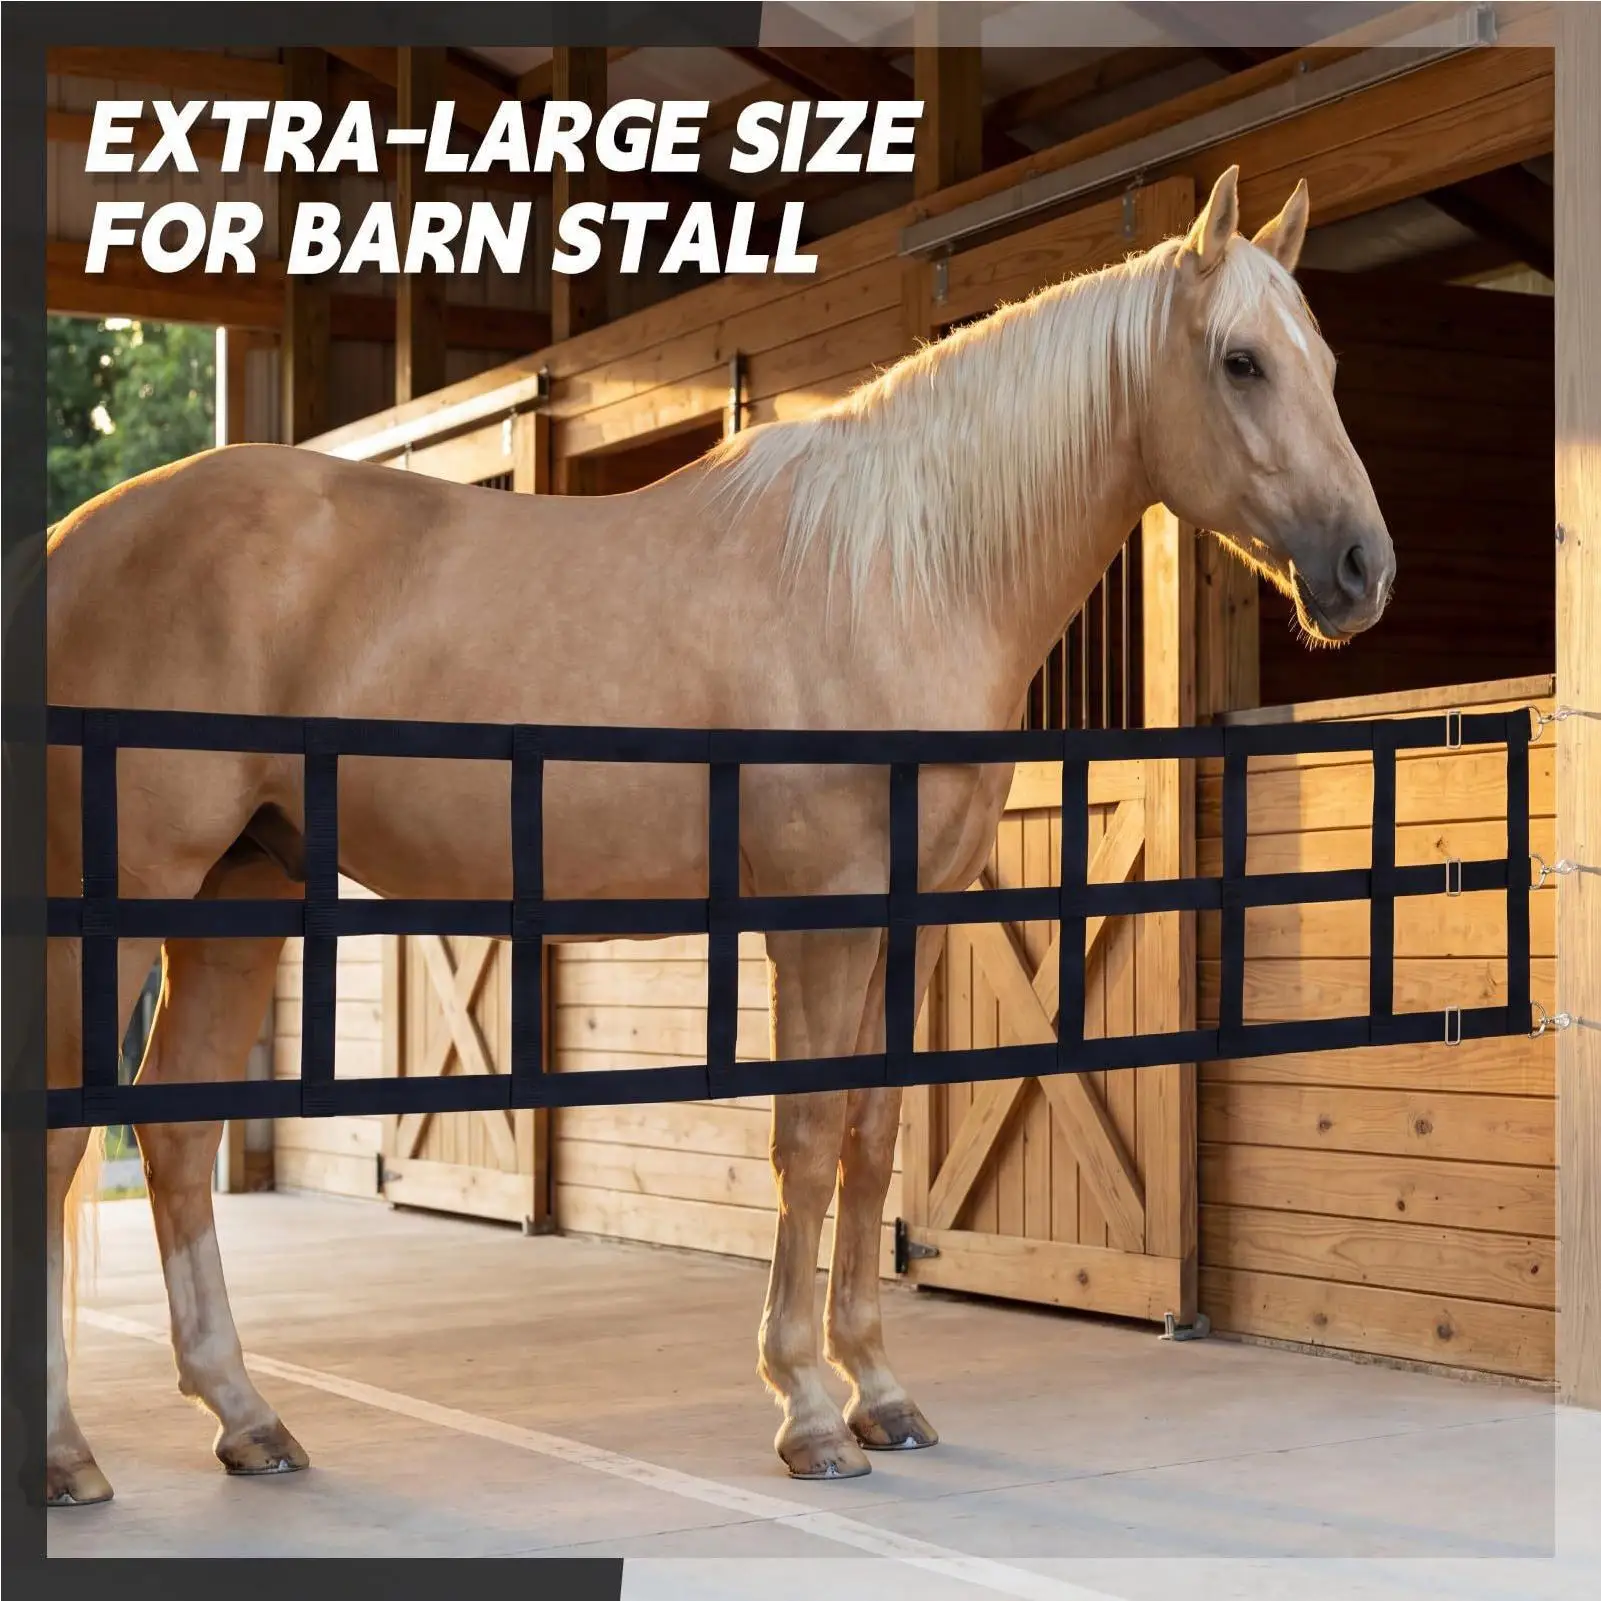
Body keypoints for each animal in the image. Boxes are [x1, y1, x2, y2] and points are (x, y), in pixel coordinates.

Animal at [43, 166, 1393, 1503]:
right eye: (1238, 362)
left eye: (1327, 359)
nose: (1360, 568)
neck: (895, 575)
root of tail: (67, 546)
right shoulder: (820, 913)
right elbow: (805, 1138)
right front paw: (806, 1411)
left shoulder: (912, 921)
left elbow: (873, 1136)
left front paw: (879, 1392)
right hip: (121, 909)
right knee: (59, 1136)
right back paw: (67, 1454)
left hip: (236, 896)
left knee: (172, 1132)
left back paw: (245, 1417)